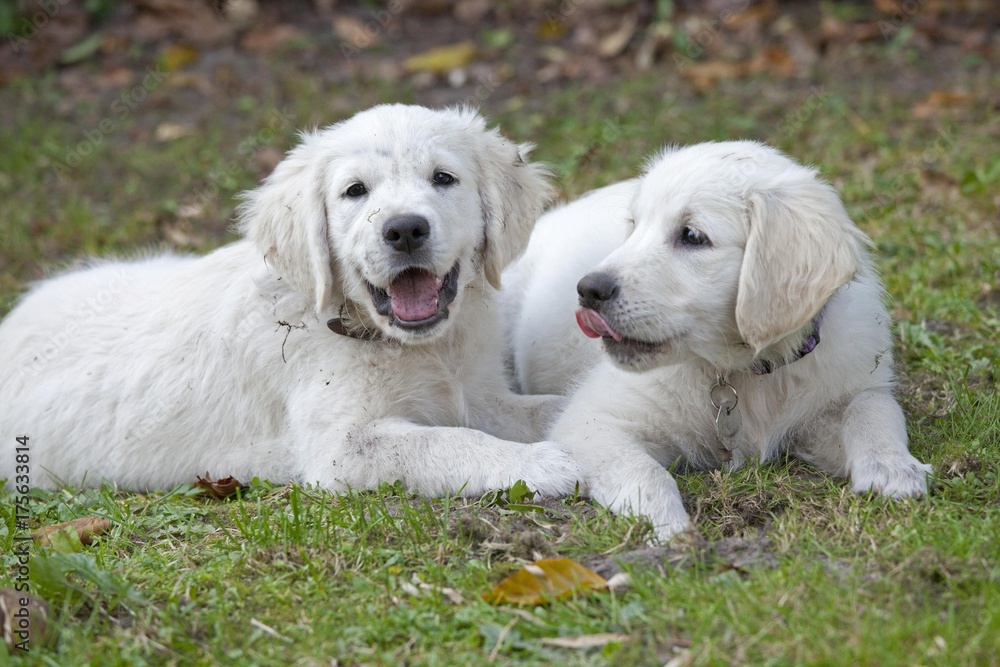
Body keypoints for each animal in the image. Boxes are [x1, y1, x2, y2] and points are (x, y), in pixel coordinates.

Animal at [0, 105, 584, 496]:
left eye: (444, 178)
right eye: (355, 191)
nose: (404, 230)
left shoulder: (478, 394)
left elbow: (549, 407)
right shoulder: (342, 449)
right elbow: (445, 444)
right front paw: (541, 466)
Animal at [504, 141, 932, 544]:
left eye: (692, 236)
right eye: (634, 225)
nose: (588, 290)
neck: (744, 369)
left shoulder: (840, 390)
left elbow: (873, 407)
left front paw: (893, 468)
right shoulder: (591, 421)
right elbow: (647, 473)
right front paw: (670, 530)